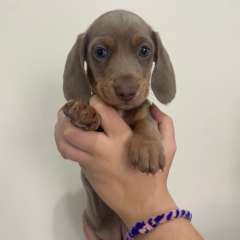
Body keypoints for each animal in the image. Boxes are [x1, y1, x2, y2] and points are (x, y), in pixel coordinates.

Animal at [61, 9, 175, 240]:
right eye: (100, 52)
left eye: (144, 50)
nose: (126, 91)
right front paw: (83, 110)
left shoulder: (146, 110)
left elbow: (146, 120)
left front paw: (148, 148)